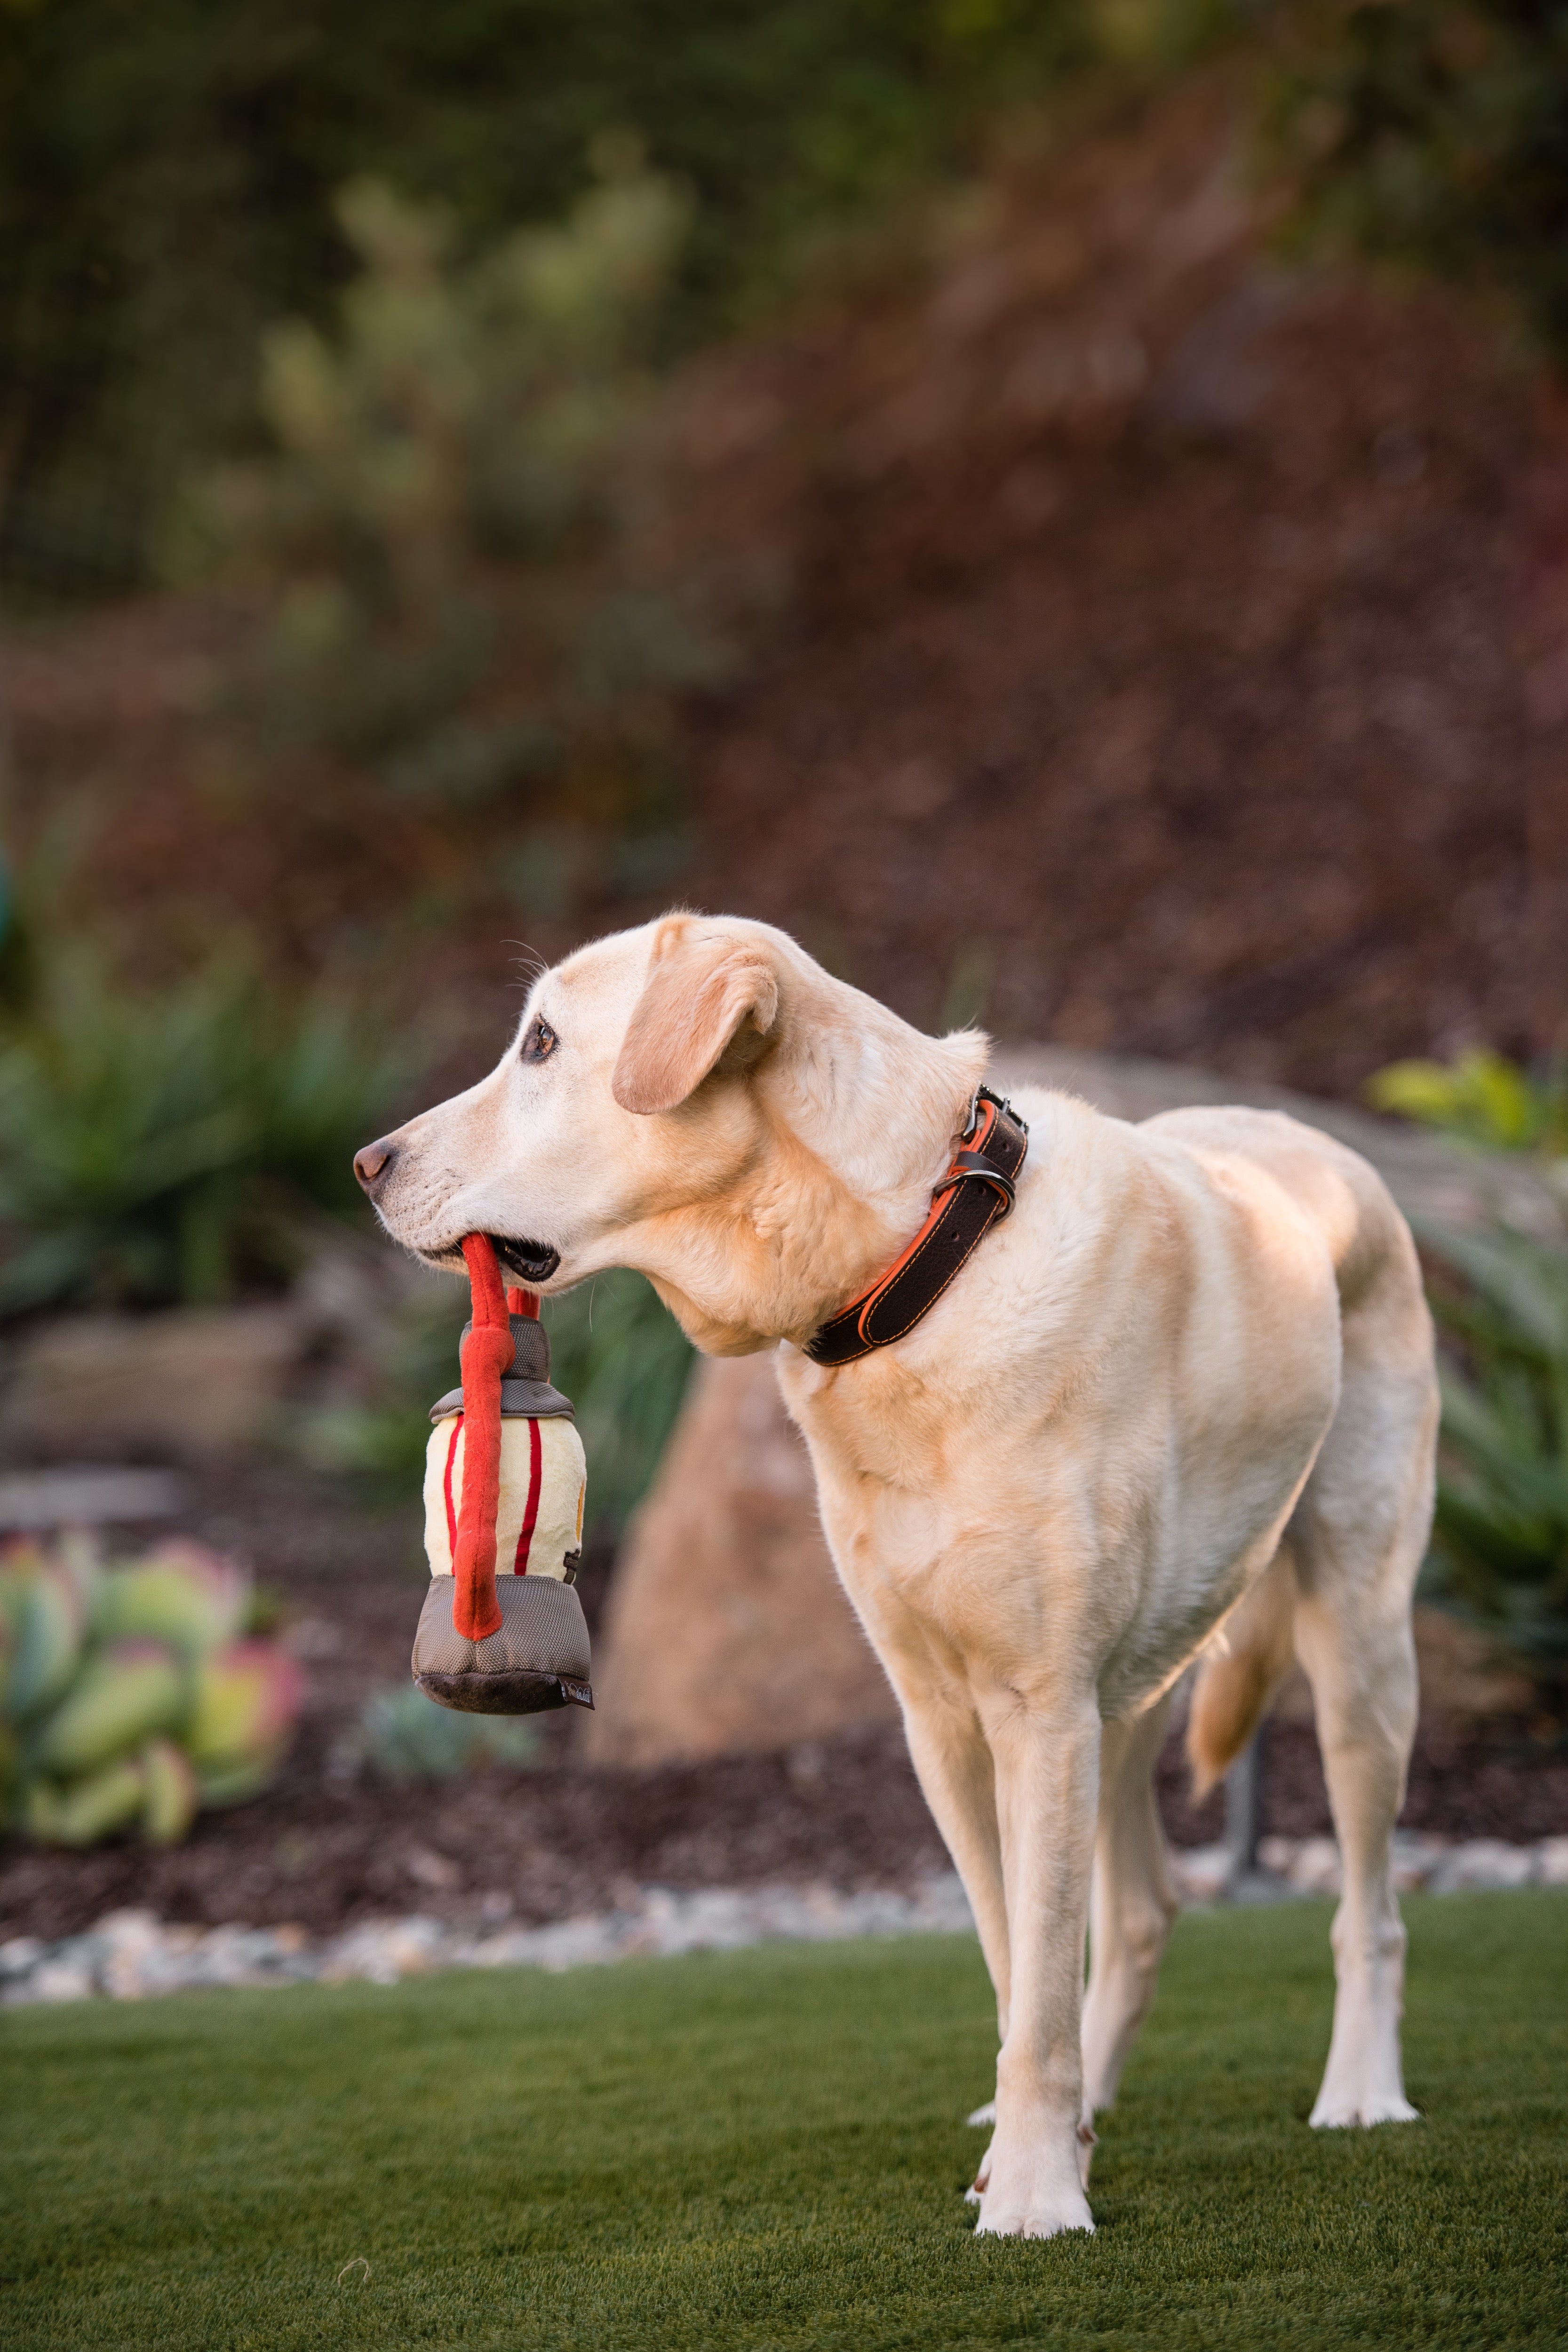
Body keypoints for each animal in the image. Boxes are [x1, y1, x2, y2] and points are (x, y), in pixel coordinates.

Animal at [362, 908, 1439, 2230]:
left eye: (544, 1044)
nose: (364, 1164)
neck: (918, 1264)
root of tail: (1314, 1137)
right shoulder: (950, 1721)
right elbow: (1018, 1963)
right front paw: (1043, 2149)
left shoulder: (1037, 1711)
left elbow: (1040, 1979)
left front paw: (1034, 2199)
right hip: (1131, 1692)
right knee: (1140, 1912)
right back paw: (1103, 2101)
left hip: (1355, 1655)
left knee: (1369, 1911)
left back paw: (1360, 2094)